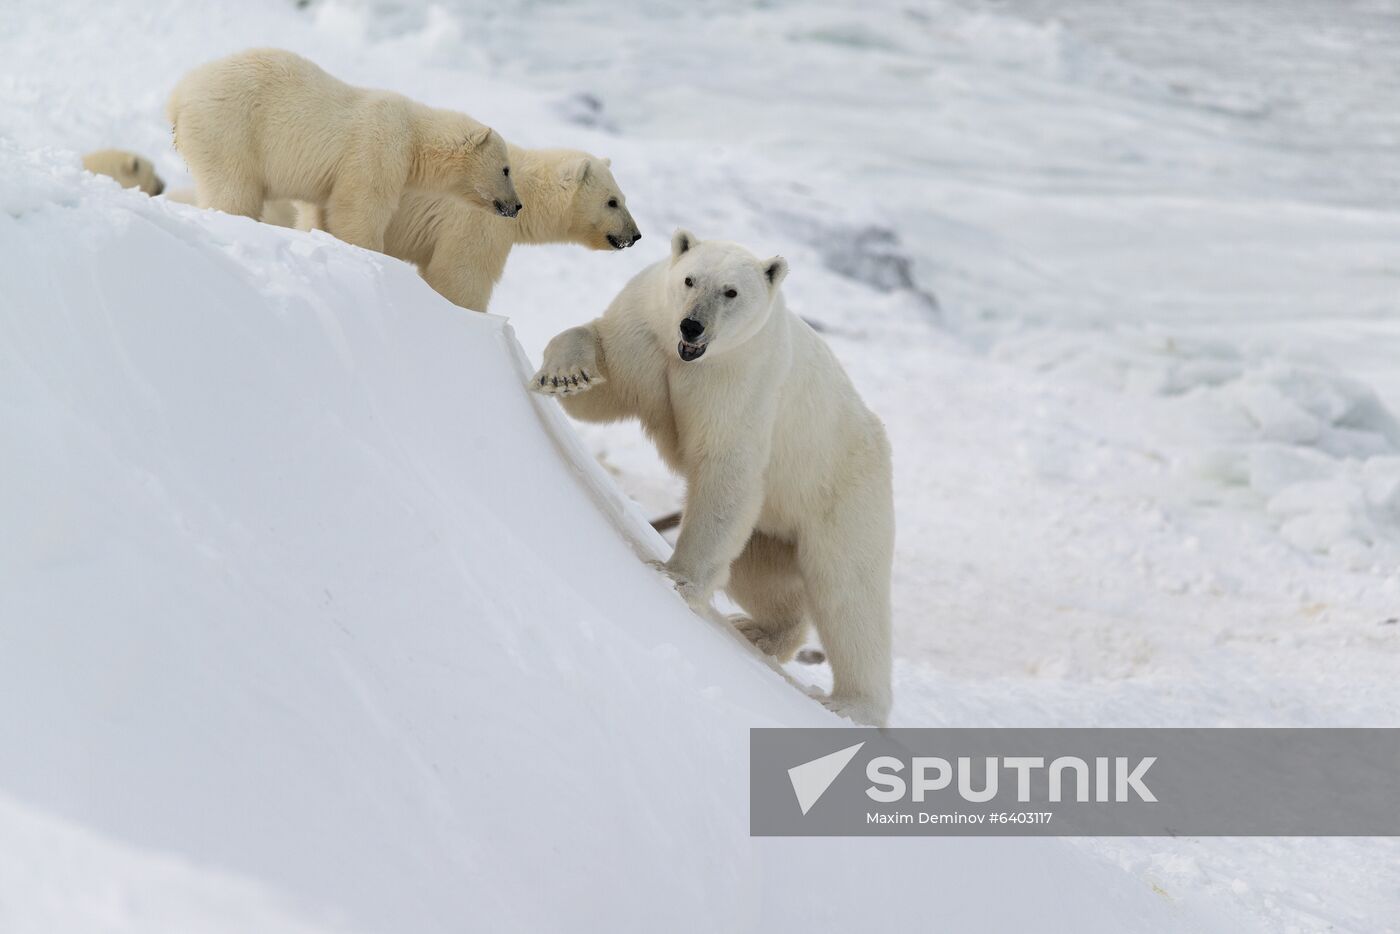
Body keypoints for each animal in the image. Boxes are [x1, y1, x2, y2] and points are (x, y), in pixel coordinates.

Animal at [166, 48, 521, 252]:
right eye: (506, 169)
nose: (517, 205)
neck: (414, 134)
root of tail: (179, 94)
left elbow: (320, 210)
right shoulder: (377, 147)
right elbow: (358, 208)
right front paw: (369, 251)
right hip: (230, 130)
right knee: (233, 189)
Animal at [298, 147, 641, 311]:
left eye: (624, 198)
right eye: (612, 202)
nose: (636, 235)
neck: (523, 191)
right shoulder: (479, 220)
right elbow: (460, 275)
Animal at [529, 230, 895, 725]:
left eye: (731, 292)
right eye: (690, 279)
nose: (691, 326)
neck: (694, 361)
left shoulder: (743, 381)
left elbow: (725, 468)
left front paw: (675, 580)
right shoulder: (645, 333)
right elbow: (607, 383)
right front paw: (566, 374)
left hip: (842, 491)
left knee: (850, 594)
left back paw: (851, 704)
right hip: (773, 526)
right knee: (761, 573)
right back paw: (759, 632)